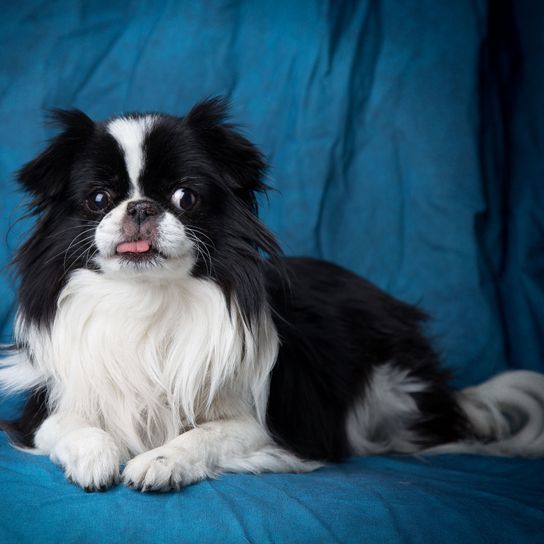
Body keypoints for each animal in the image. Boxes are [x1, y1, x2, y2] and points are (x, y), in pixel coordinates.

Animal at [1, 99, 544, 492]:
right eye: (99, 199)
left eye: (185, 198)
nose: (139, 208)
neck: (147, 300)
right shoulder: (43, 415)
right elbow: (73, 427)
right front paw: (97, 455)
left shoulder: (266, 427)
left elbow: (203, 435)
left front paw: (161, 460)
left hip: (394, 390)